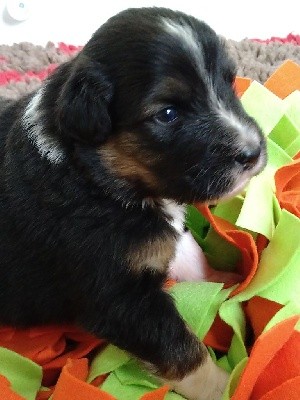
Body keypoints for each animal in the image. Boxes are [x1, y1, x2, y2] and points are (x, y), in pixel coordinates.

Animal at [0, 7, 266, 400]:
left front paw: (225, 282)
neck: (94, 176)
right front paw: (227, 385)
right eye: (168, 114)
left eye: (230, 82)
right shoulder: (118, 296)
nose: (252, 153)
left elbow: (191, 256)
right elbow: (181, 350)